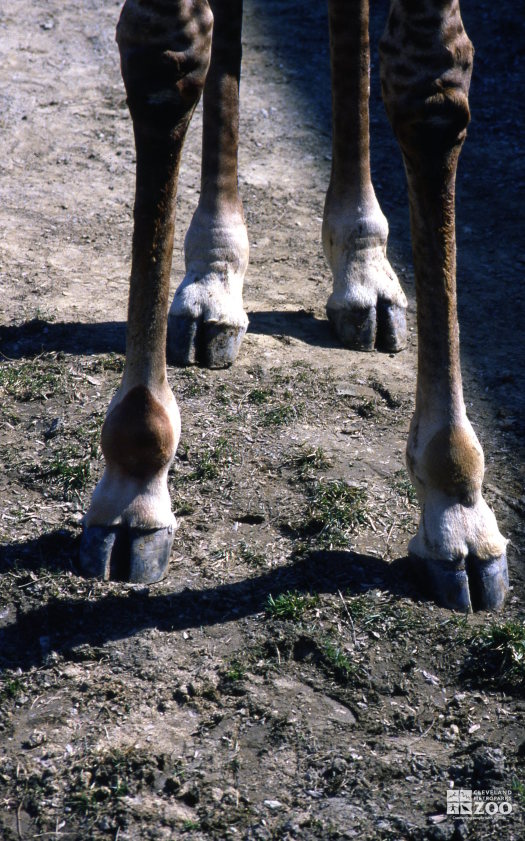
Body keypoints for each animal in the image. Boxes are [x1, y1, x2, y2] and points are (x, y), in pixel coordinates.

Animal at [79, 0, 508, 612]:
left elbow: (429, 87)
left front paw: (458, 505)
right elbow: (164, 57)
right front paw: (136, 470)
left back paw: (362, 263)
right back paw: (215, 278)